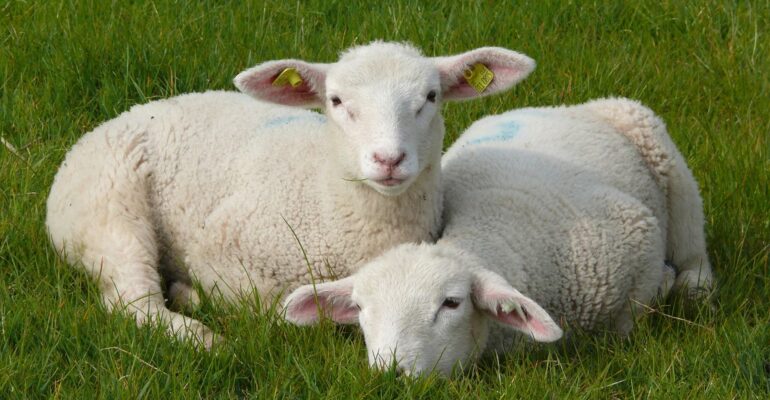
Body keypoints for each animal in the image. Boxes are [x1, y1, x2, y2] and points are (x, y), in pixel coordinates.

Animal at [46, 41, 537, 348]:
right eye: (336, 101)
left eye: (431, 96)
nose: (389, 159)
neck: (326, 198)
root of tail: (110, 122)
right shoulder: (219, 250)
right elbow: (270, 309)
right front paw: (195, 295)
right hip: (111, 208)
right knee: (133, 299)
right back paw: (200, 335)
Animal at [283, 98, 714, 375]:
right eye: (359, 307)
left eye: (451, 304)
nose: (389, 375)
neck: (491, 227)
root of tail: (567, 107)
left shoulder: (639, 238)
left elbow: (629, 322)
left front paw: (662, 289)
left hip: (666, 160)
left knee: (692, 243)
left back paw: (693, 285)